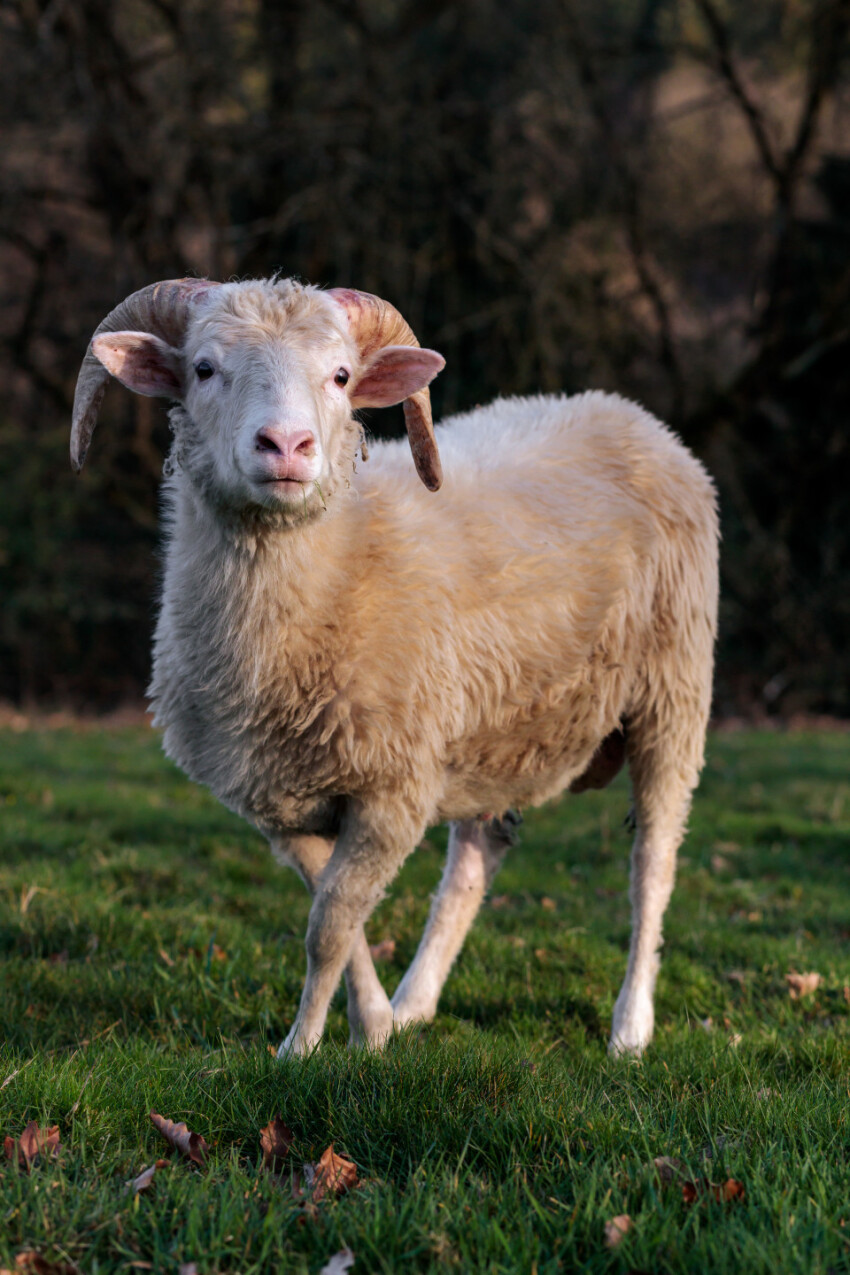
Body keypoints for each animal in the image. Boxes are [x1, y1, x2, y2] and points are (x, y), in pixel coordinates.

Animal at [71, 276, 718, 1055]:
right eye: (203, 368)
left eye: (341, 376)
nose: (287, 444)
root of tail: (628, 413)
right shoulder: (280, 800)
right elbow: (335, 914)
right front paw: (373, 1025)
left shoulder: (392, 791)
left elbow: (328, 925)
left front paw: (300, 1047)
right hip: (491, 729)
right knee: (475, 860)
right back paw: (416, 1003)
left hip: (672, 692)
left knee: (653, 863)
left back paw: (630, 1026)